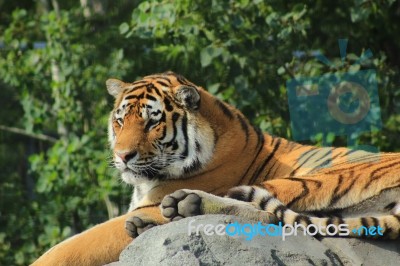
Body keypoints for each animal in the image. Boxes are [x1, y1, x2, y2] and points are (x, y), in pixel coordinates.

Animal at [32, 71, 398, 264]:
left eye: (152, 122)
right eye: (120, 121)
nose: (123, 156)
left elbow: (69, 247)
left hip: (327, 175)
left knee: (272, 211)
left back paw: (179, 206)